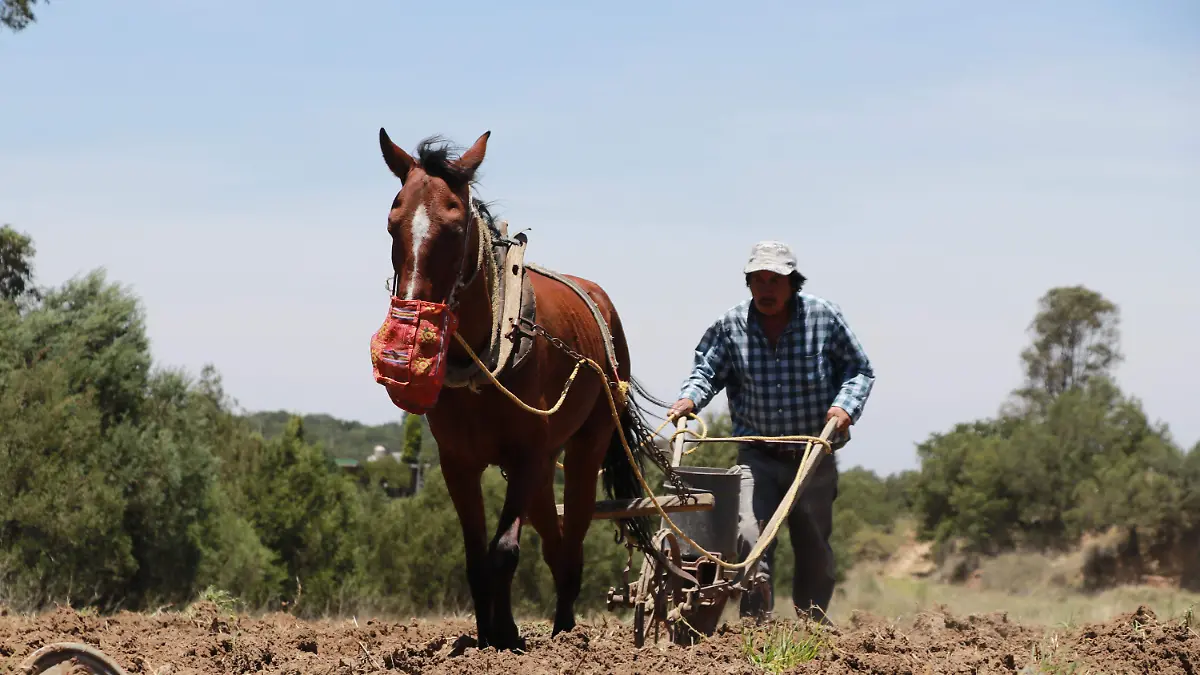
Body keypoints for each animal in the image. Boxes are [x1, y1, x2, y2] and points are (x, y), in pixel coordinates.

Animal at [364, 128, 686, 648]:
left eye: (455, 224)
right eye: (394, 223)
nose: (409, 328)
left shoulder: (528, 455)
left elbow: (504, 552)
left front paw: (507, 640)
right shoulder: (459, 463)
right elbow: (478, 558)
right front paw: (490, 638)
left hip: (582, 448)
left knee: (570, 544)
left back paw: (565, 631)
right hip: (538, 467)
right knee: (552, 542)